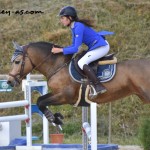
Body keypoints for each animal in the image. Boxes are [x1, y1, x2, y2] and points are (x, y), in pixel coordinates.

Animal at [7, 41, 150, 125]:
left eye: (17, 62)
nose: (9, 81)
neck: (57, 66)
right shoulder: (57, 94)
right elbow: (40, 100)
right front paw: (56, 118)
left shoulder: (64, 96)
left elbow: (40, 102)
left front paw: (54, 119)